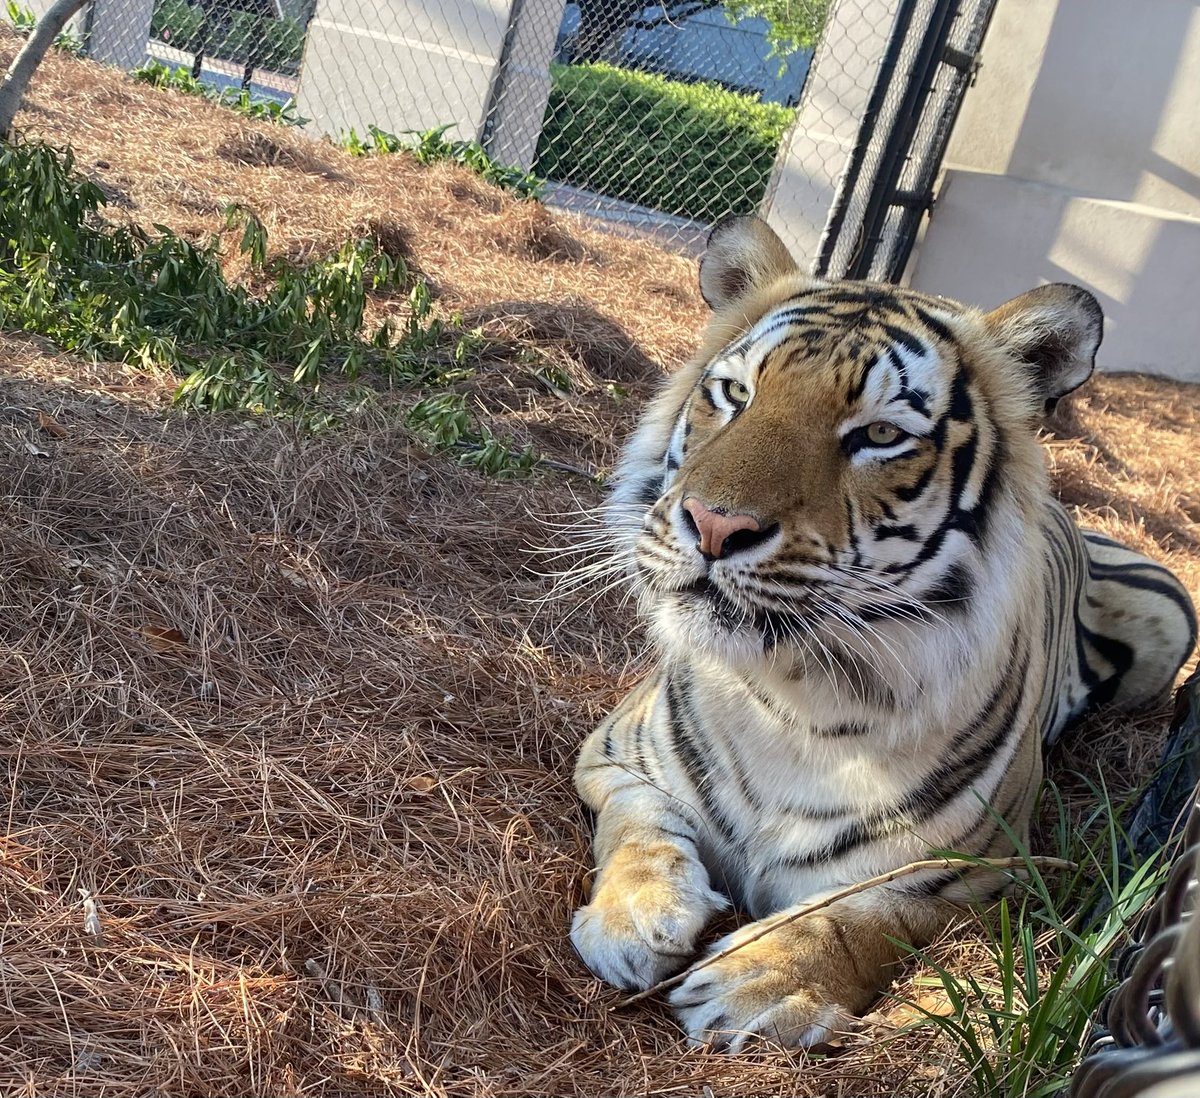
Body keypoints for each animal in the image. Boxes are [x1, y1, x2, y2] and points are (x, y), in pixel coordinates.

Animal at [566, 214, 1195, 1046]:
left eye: (880, 435)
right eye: (736, 393)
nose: (714, 525)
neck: (787, 698)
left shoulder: (983, 874)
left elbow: (866, 916)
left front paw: (756, 979)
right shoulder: (609, 756)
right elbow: (637, 824)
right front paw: (635, 918)